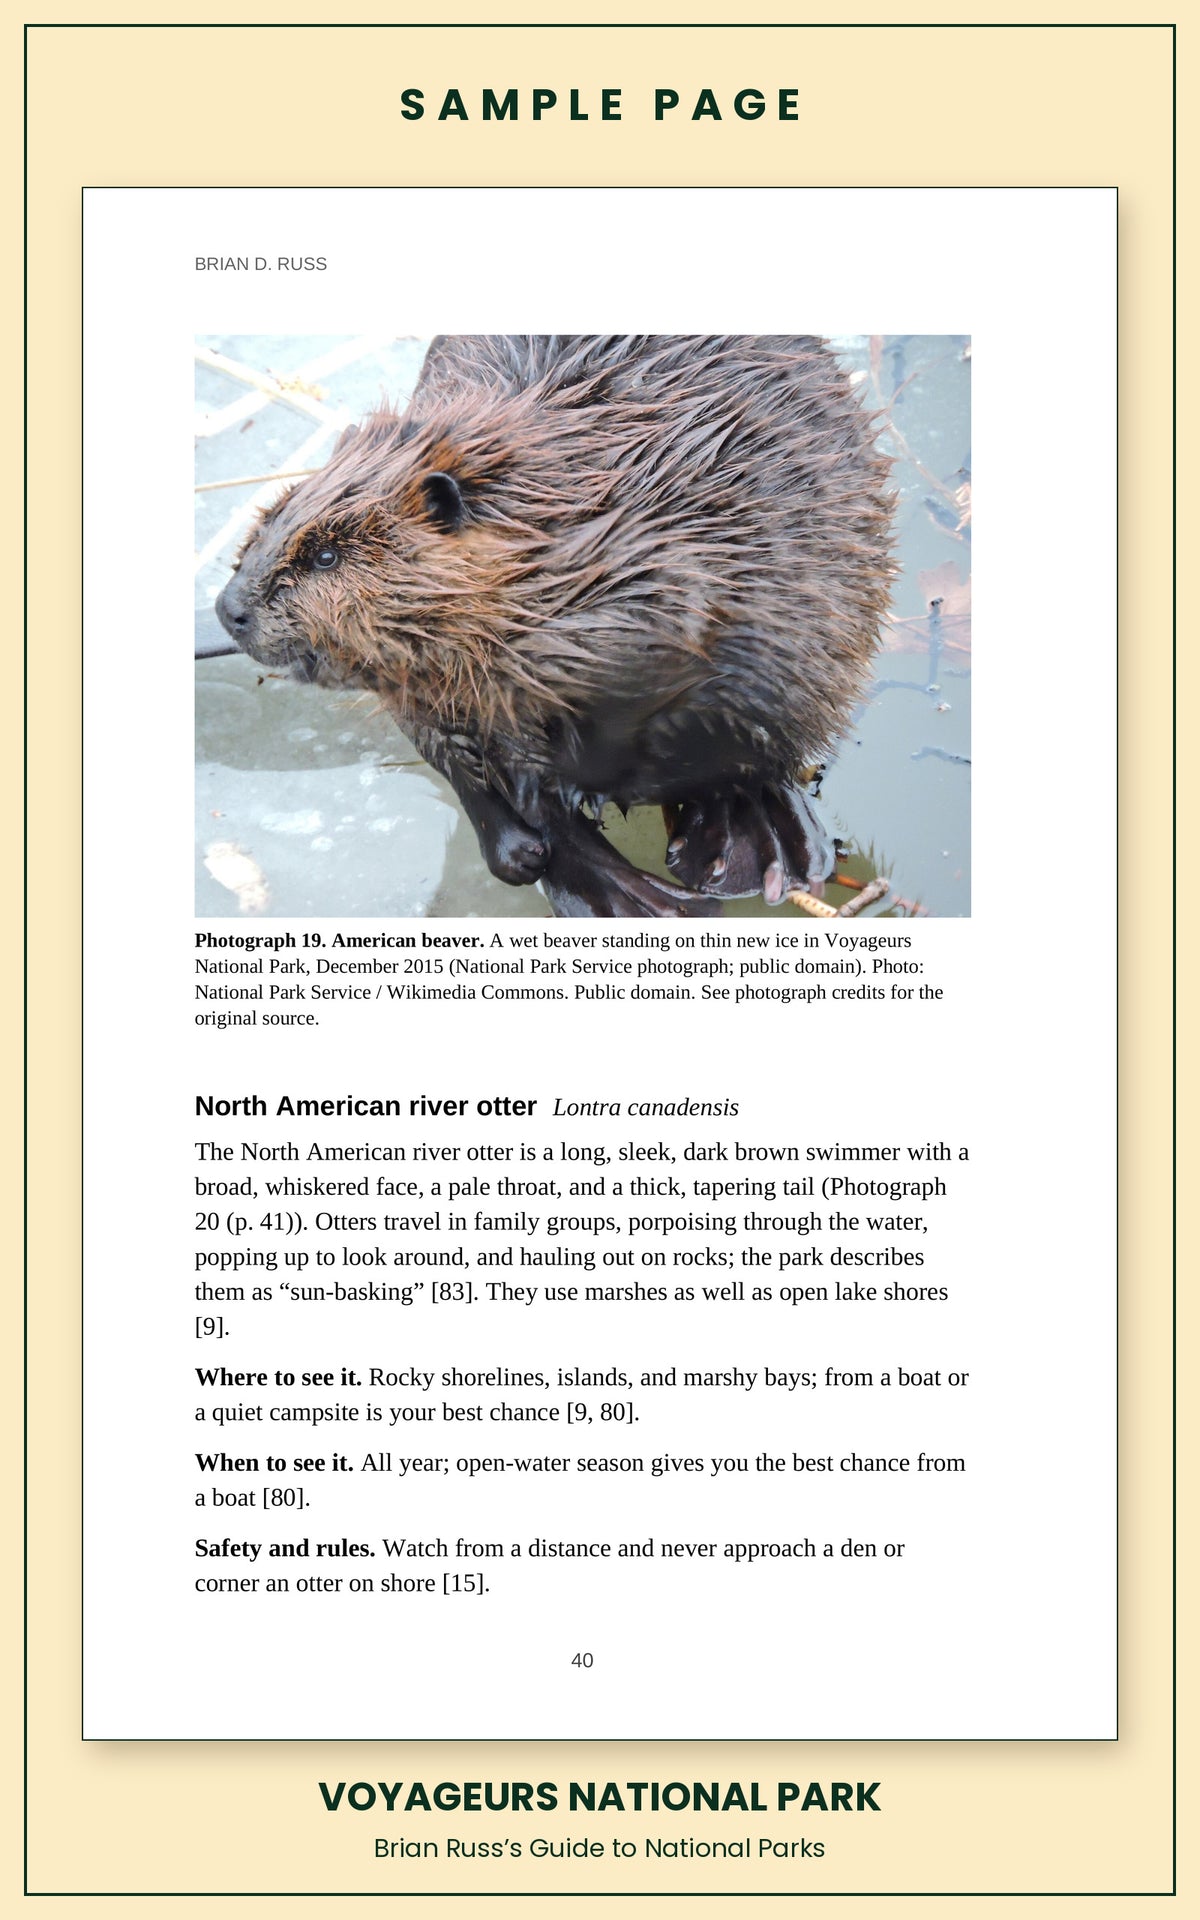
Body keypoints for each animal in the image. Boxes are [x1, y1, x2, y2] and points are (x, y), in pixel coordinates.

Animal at [215, 335, 893, 917]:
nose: (229, 609)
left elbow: (670, 685)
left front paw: (573, 786)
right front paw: (529, 825)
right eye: (273, 514)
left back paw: (756, 851)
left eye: (326, 555)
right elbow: (445, 742)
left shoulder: (682, 585)